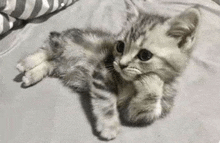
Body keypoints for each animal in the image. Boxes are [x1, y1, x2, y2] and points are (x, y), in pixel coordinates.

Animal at [16, 6, 199, 140]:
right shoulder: (102, 72)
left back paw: (31, 75)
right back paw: (26, 63)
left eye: (145, 55)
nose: (122, 64)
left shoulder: (135, 113)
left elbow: (145, 105)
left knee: (50, 63)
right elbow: (105, 102)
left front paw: (151, 80)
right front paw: (109, 126)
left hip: (60, 65)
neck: (128, 82)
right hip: (62, 43)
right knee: (46, 49)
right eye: (120, 46)